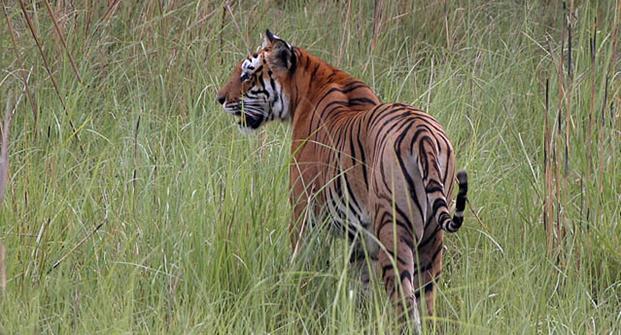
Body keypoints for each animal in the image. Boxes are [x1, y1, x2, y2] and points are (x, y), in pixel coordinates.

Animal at [216, 29, 468, 334]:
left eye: (246, 74)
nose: (219, 98)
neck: (313, 81)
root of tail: (423, 136)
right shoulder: (361, 238)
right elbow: (361, 285)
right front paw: (359, 319)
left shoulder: (304, 214)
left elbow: (302, 266)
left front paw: (295, 303)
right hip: (431, 241)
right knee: (428, 306)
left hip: (394, 234)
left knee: (406, 306)